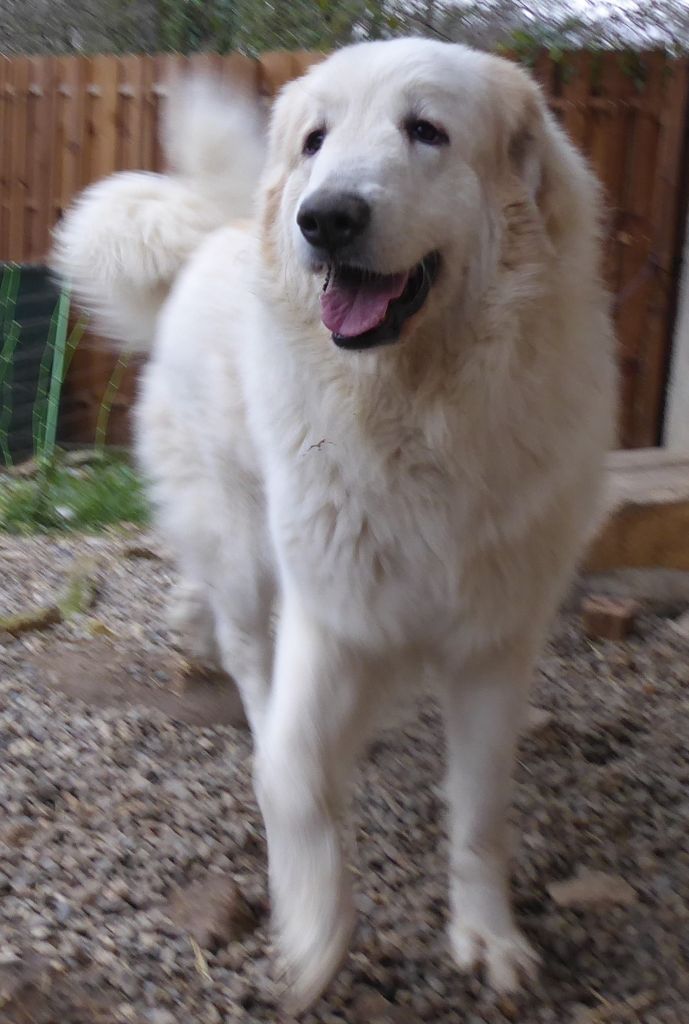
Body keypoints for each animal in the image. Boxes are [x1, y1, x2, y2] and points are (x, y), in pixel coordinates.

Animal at [52, 37, 614, 1007]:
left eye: (426, 130)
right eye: (315, 140)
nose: (325, 218)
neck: (420, 410)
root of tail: (211, 236)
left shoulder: (492, 641)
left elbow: (479, 811)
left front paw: (486, 935)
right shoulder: (335, 608)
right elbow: (297, 773)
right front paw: (316, 929)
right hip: (245, 546)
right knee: (248, 651)